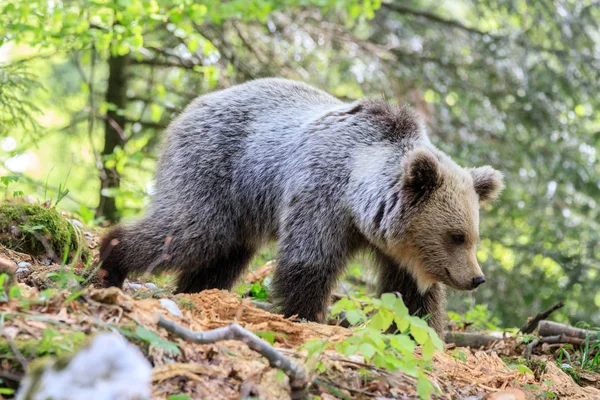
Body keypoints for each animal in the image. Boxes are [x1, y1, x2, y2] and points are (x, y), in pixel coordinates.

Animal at [98, 77, 502, 334]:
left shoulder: (394, 246)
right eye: (456, 235)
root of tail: (193, 104)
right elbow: (309, 262)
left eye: (474, 237)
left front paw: (420, 330)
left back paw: (197, 292)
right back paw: (112, 260)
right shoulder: (321, 197)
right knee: (191, 229)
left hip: (242, 208)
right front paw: (306, 316)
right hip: (216, 169)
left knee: (223, 254)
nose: (476, 278)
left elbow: (408, 293)